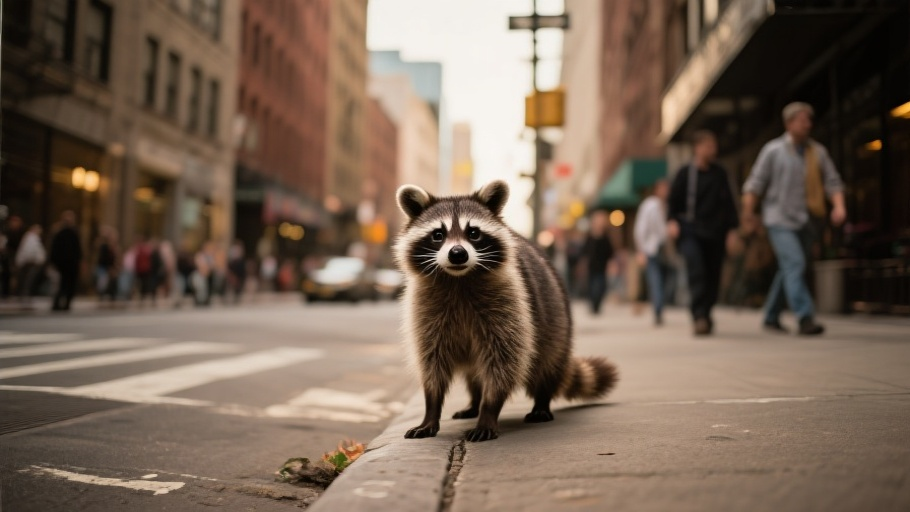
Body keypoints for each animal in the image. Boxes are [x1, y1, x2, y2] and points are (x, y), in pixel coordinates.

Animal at [394, 180, 618, 442]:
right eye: (438, 235)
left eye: (474, 233)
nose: (458, 254)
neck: (459, 279)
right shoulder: (427, 311)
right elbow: (432, 361)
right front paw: (431, 409)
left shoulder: (510, 304)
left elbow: (504, 361)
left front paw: (489, 410)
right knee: (474, 374)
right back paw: (474, 401)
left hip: (556, 317)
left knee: (547, 361)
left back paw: (541, 401)